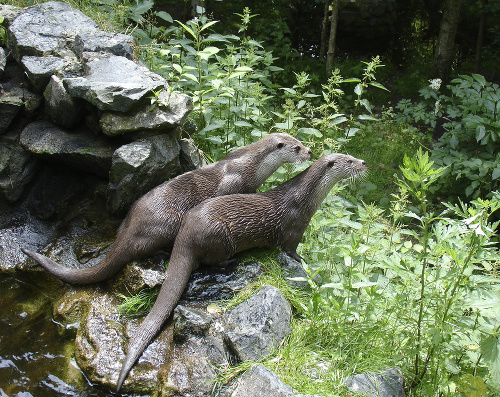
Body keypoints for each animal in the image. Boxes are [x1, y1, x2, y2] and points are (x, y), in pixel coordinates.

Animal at [21, 134, 310, 284]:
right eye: (296, 147)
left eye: (301, 140)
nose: (309, 151)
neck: (251, 164)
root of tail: (132, 226)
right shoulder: (234, 181)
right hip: (168, 223)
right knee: (142, 249)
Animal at [117, 152, 368, 390]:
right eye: (349, 160)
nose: (364, 162)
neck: (304, 198)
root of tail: (186, 233)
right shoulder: (294, 228)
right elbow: (290, 250)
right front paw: (302, 261)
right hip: (220, 234)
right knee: (208, 262)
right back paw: (230, 263)